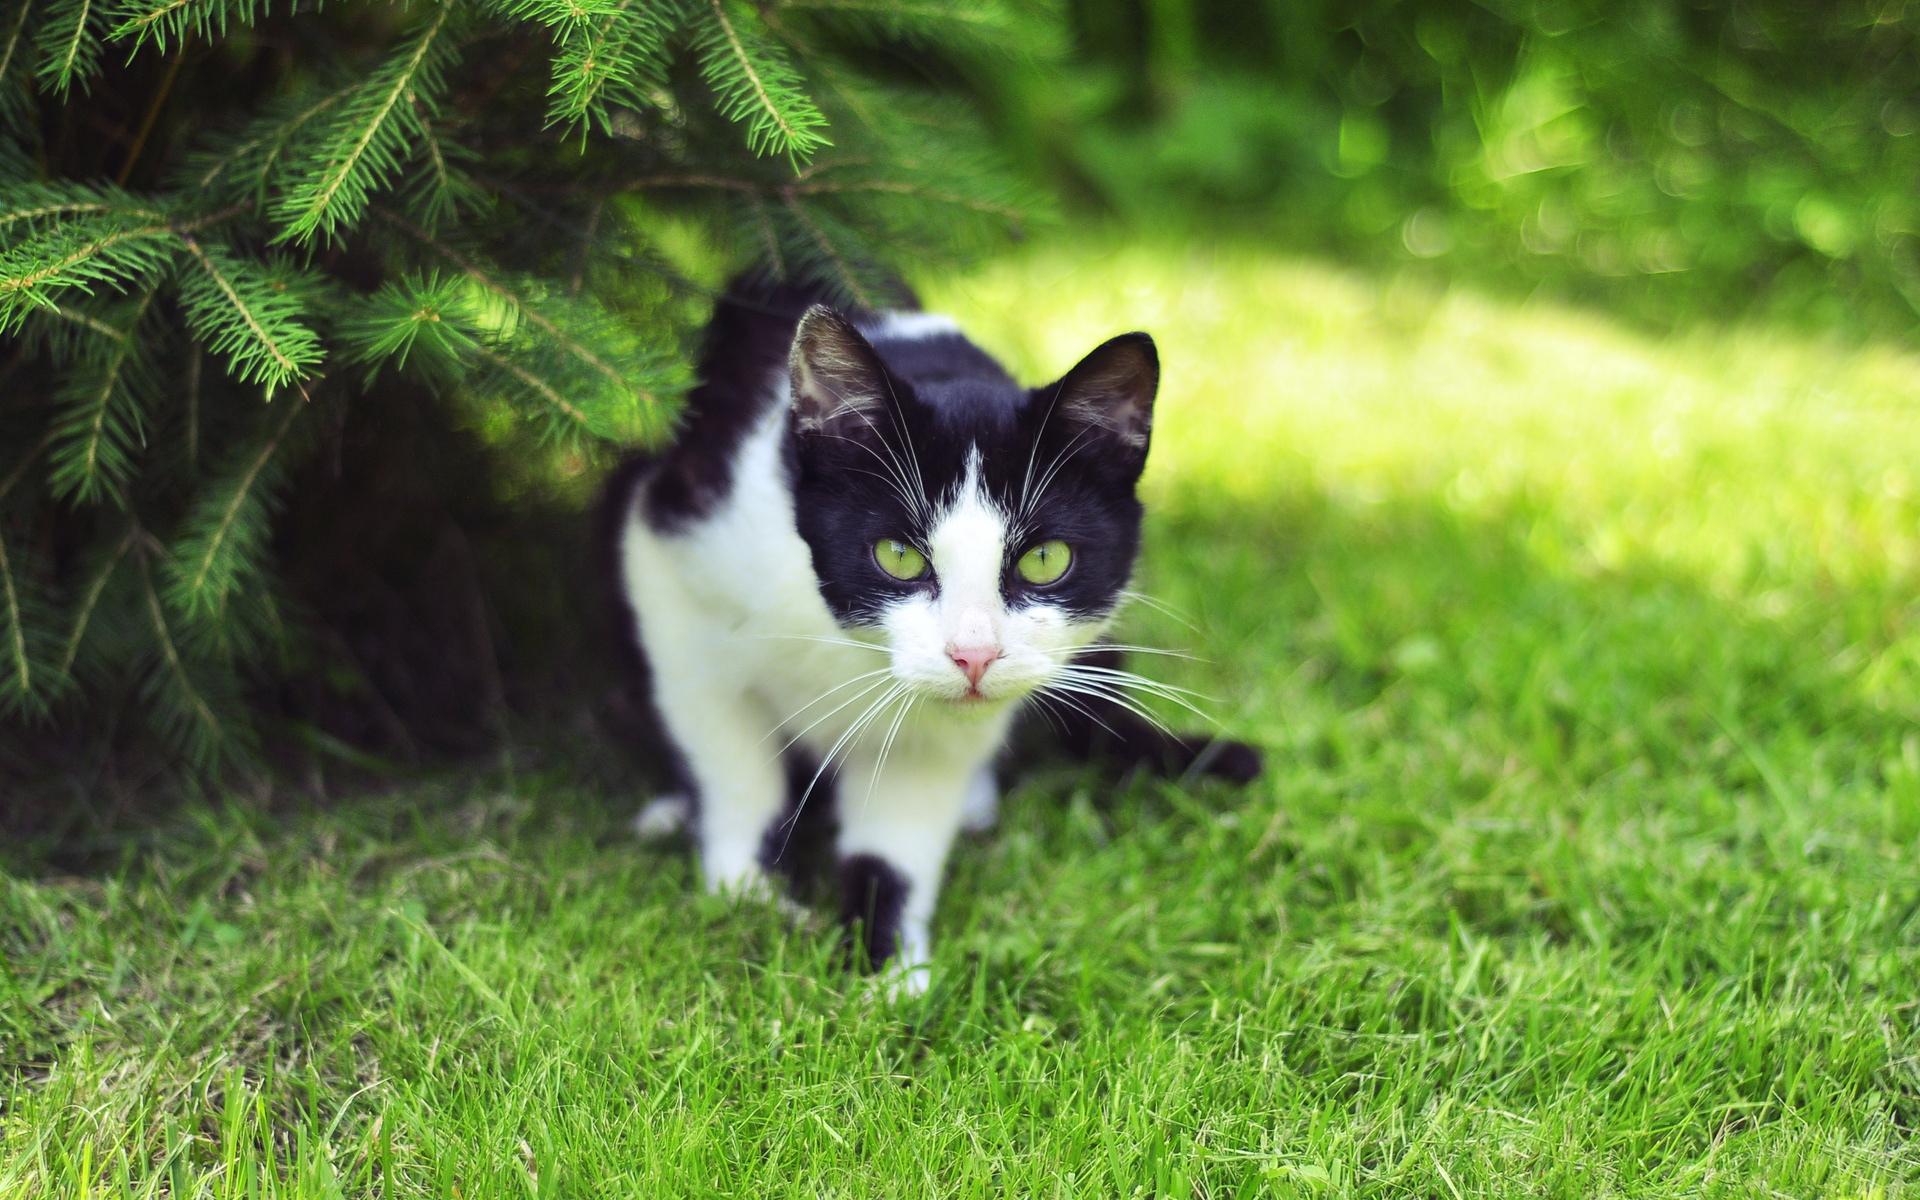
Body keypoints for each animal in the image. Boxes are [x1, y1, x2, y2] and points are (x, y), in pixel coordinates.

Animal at [602, 276, 1259, 990]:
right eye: (897, 556)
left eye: (1045, 559)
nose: (974, 654)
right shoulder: (676, 556)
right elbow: (734, 761)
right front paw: (751, 894)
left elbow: (900, 826)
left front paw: (885, 968)